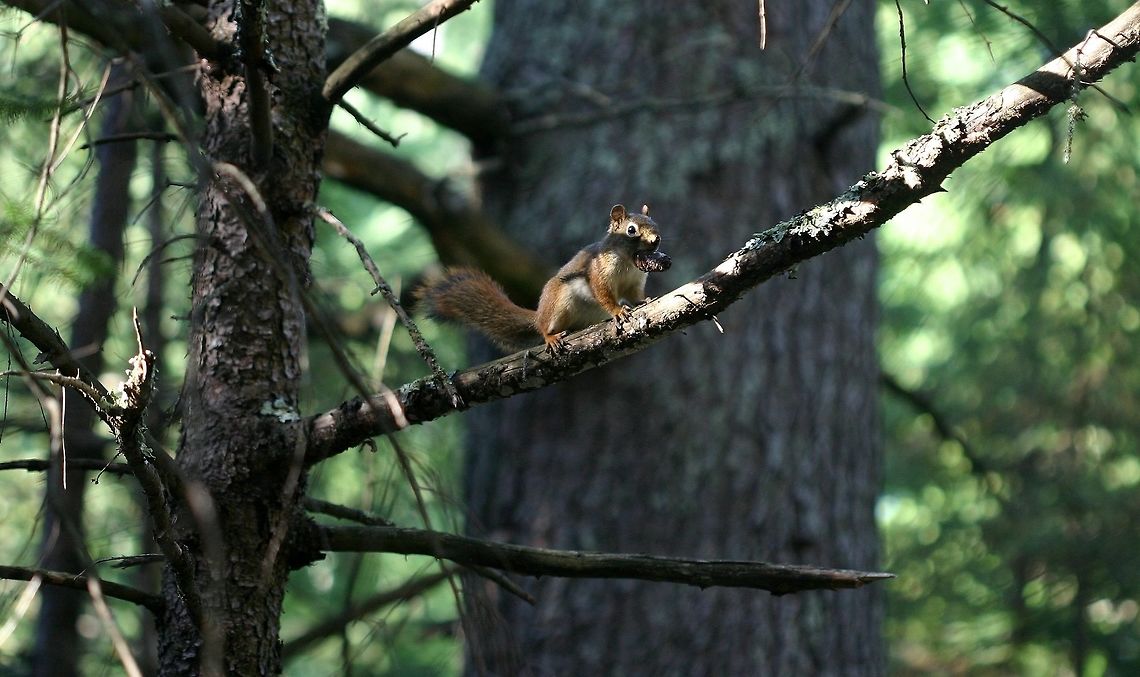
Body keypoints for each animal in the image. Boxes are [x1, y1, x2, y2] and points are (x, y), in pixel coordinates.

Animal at [415, 204, 667, 352]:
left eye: (655, 223)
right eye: (631, 230)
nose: (656, 240)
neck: (628, 261)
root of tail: (537, 315)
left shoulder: (635, 281)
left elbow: (634, 295)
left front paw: (644, 301)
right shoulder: (598, 273)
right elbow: (604, 295)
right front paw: (618, 311)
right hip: (557, 301)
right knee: (545, 328)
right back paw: (551, 337)